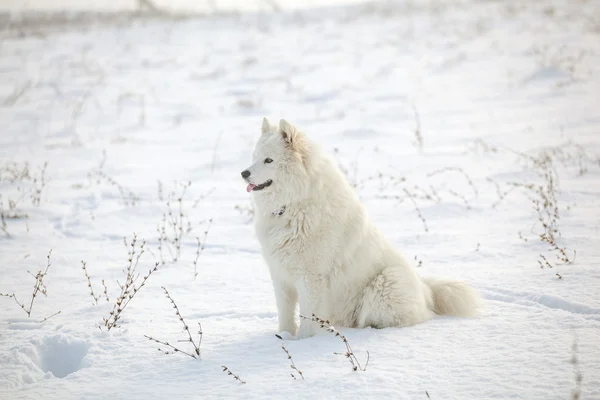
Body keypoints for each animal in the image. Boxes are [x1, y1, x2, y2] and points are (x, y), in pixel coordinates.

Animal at [241, 117, 480, 340]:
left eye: (269, 160)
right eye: (254, 157)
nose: (244, 173)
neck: (293, 205)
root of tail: (427, 292)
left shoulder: (311, 278)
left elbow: (309, 315)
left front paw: (304, 341)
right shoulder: (280, 276)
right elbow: (285, 312)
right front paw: (284, 336)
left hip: (384, 284)